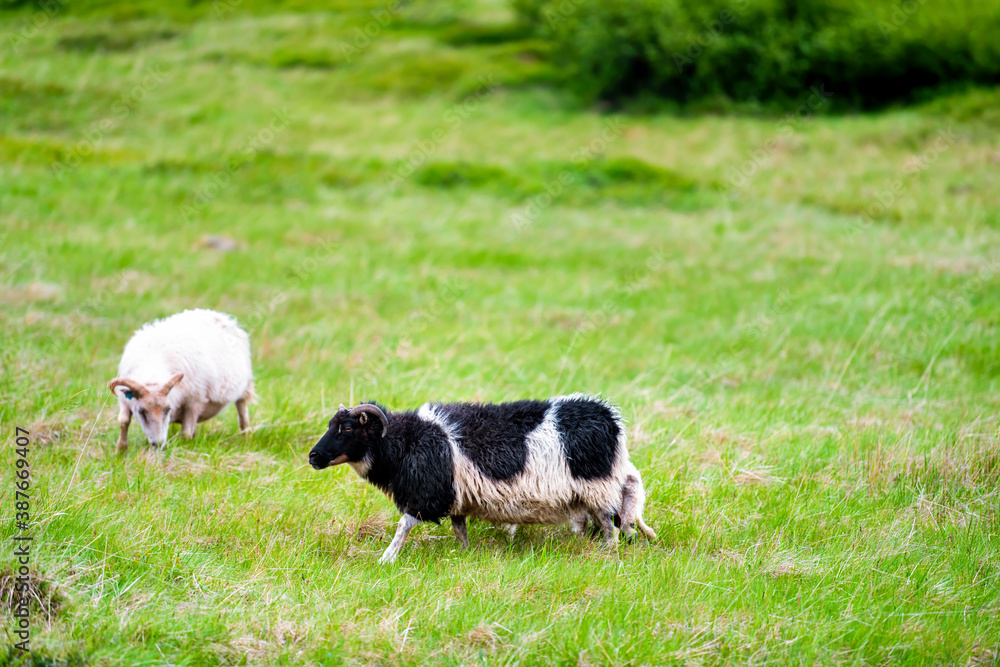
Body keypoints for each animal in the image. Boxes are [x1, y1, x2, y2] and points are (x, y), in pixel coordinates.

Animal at [107, 309, 255, 452]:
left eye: (168, 409)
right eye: (141, 411)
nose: (158, 445)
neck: (153, 368)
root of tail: (220, 315)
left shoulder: (195, 402)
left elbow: (186, 433)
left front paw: (185, 449)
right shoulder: (124, 400)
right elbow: (123, 421)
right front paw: (121, 450)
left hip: (244, 388)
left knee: (243, 416)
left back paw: (246, 439)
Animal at [308, 394, 647, 563]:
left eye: (347, 428)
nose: (313, 457)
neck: (404, 441)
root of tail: (611, 419)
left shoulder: (429, 493)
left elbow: (403, 526)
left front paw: (387, 559)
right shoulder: (456, 498)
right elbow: (460, 530)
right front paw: (465, 554)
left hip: (597, 487)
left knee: (609, 525)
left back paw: (608, 554)